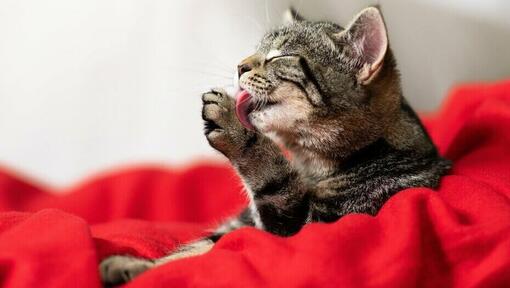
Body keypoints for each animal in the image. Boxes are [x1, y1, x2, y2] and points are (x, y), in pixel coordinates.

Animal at [99, 6, 450, 286]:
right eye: (255, 50)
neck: (309, 166)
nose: (239, 65)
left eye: (279, 56)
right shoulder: (238, 226)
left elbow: (273, 184)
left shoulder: (304, 228)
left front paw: (235, 126)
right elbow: (192, 252)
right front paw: (133, 265)